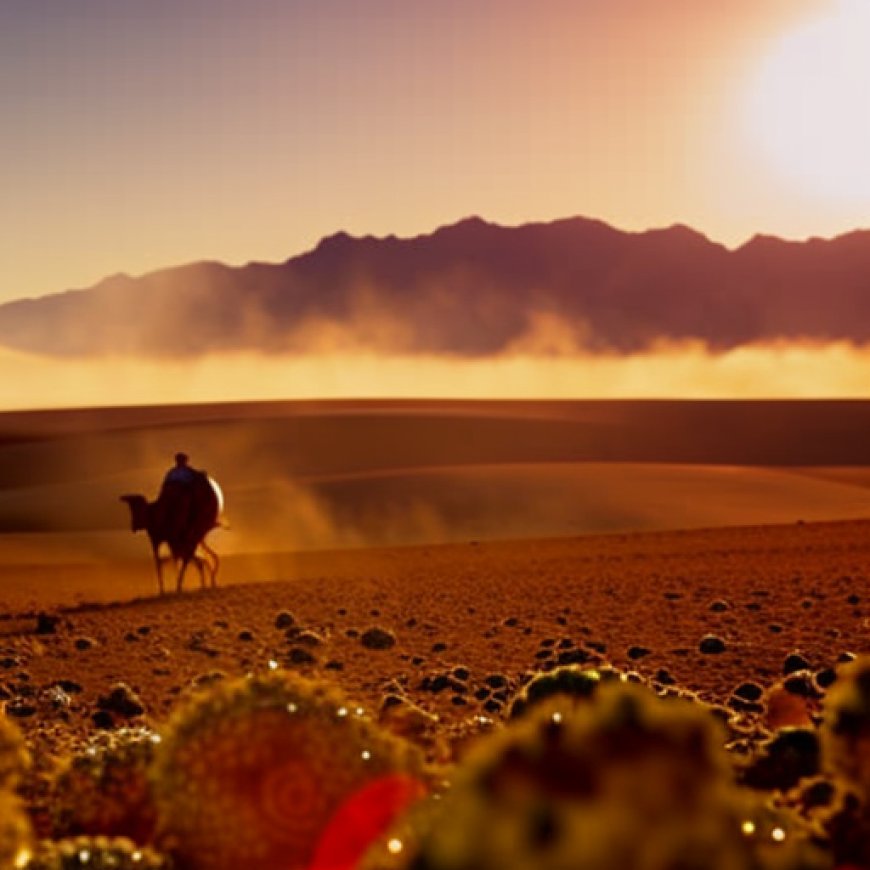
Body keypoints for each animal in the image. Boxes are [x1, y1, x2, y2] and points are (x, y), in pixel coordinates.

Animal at [121, 470, 223, 600]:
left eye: (136, 509)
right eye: (132, 508)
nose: (134, 526)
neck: (153, 513)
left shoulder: (158, 539)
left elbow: (159, 562)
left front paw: (163, 590)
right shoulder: (175, 540)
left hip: (184, 537)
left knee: (188, 559)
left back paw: (181, 586)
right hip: (194, 533)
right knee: (194, 559)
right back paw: (204, 583)